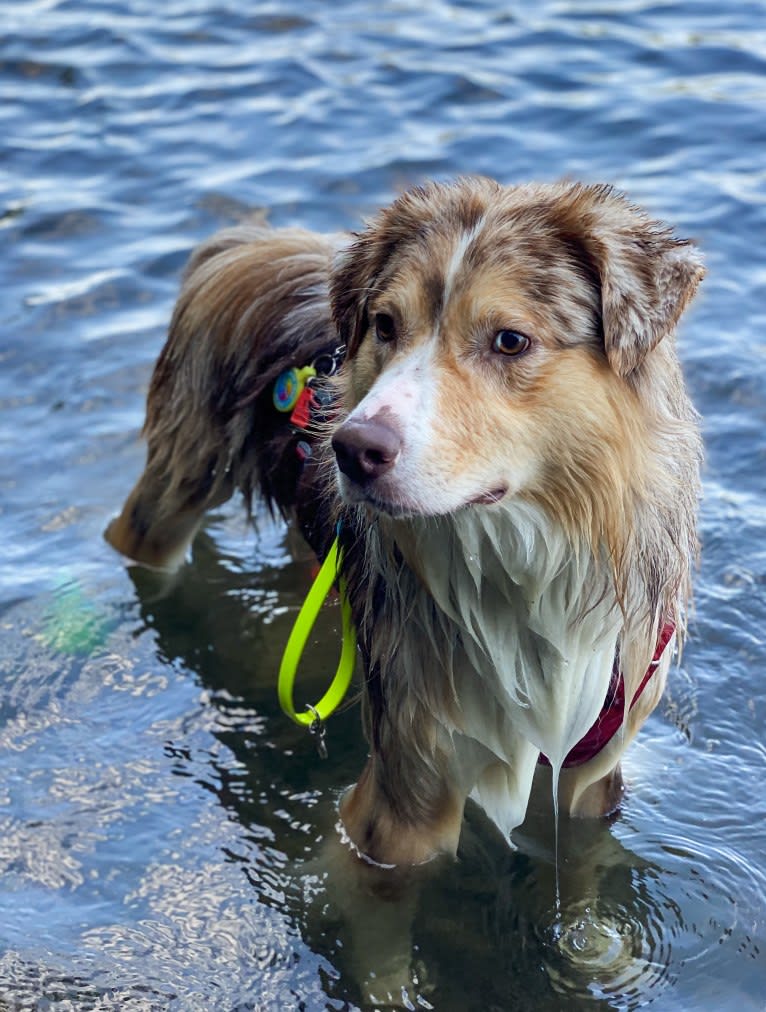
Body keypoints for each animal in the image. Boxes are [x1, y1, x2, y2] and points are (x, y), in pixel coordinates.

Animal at [104, 178, 700, 874]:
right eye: (386, 325)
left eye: (510, 341)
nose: (351, 449)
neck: (524, 553)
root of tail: (253, 241)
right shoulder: (406, 786)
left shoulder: (595, 771)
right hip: (176, 482)